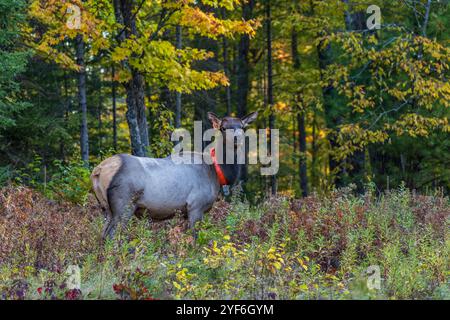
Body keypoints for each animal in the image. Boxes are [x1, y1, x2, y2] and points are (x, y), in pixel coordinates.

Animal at [90, 111, 256, 239]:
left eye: (242, 127)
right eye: (223, 127)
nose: (238, 138)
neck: (216, 173)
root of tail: (99, 170)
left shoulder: (184, 212)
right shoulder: (196, 205)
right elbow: (195, 240)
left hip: (106, 208)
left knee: (102, 235)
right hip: (123, 204)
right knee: (111, 236)